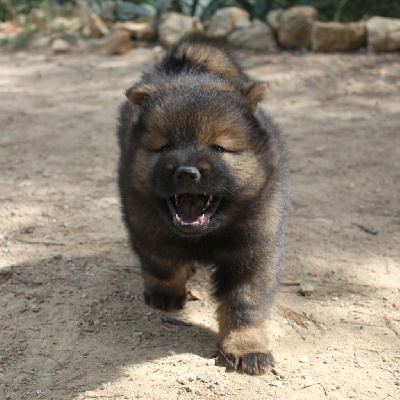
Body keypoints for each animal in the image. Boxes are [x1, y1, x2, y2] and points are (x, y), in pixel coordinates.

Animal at [115, 34, 288, 376]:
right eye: (165, 147)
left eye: (219, 148)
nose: (186, 171)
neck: (205, 235)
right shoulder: (144, 222)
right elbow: (162, 262)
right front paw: (166, 293)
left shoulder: (254, 250)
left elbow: (244, 304)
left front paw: (247, 348)